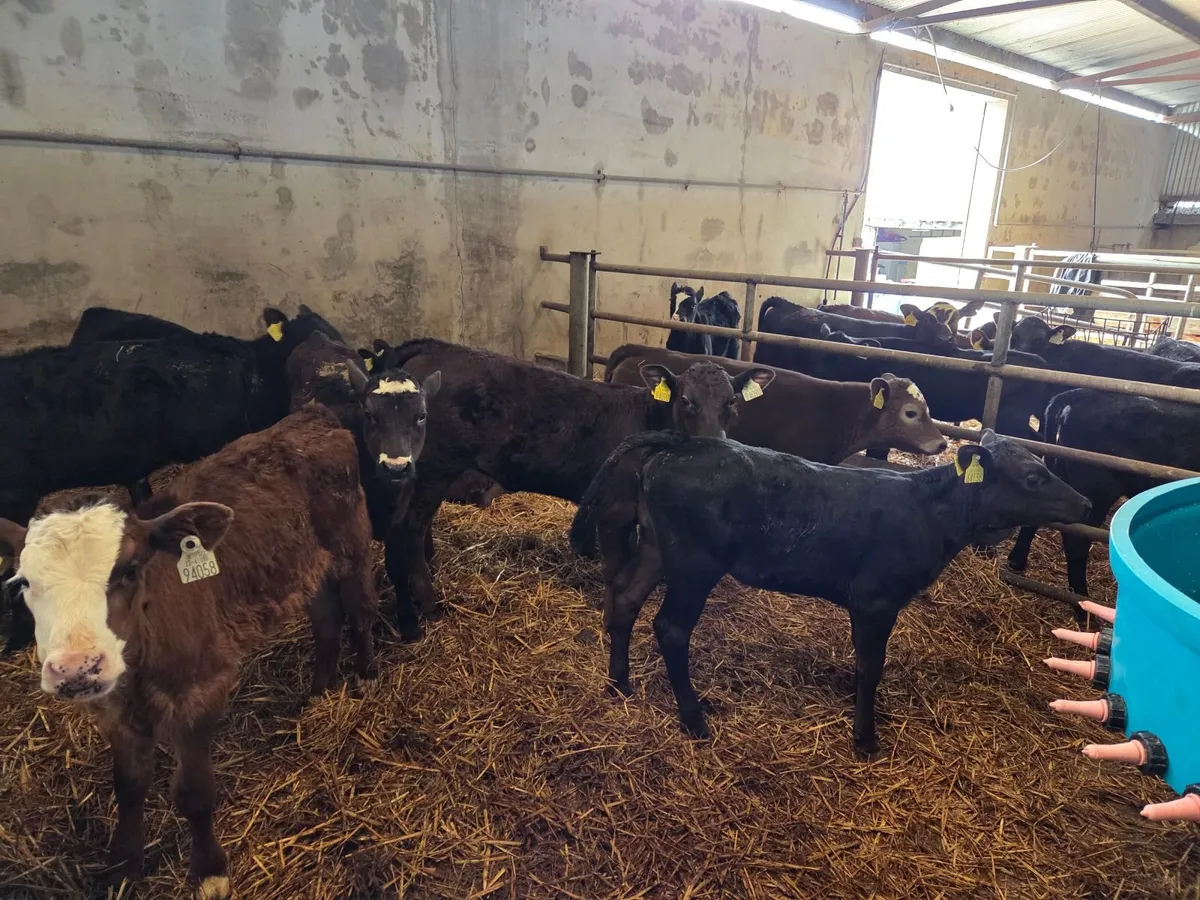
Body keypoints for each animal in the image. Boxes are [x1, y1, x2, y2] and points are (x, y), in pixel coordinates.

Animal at [0, 406, 378, 899]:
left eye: (129, 569)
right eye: (24, 581)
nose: (76, 667)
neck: (140, 672)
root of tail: (310, 416)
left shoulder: (203, 691)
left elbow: (194, 793)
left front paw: (209, 871)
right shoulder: (112, 711)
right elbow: (128, 786)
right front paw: (122, 867)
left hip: (351, 542)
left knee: (361, 607)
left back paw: (366, 674)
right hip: (302, 566)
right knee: (326, 619)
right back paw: (317, 692)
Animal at [286, 331, 441, 640]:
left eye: (421, 416)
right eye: (370, 414)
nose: (396, 466)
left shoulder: (399, 517)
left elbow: (397, 566)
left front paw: (409, 623)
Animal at [366, 339, 775, 631]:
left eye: (732, 404)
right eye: (687, 401)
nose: (716, 445)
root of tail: (436, 349)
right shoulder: (613, 508)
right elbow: (616, 569)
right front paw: (611, 620)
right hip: (436, 466)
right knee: (410, 528)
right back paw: (429, 602)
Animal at [574, 429, 1089, 752]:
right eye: (1034, 476)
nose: (1084, 502)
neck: (929, 511)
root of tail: (683, 442)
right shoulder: (876, 600)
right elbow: (871, 666)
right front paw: (865, 737)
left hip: (656, 547)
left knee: (625, 600)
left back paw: (620, 683)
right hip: (694, 564)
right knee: (671, 628)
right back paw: (693, 717)